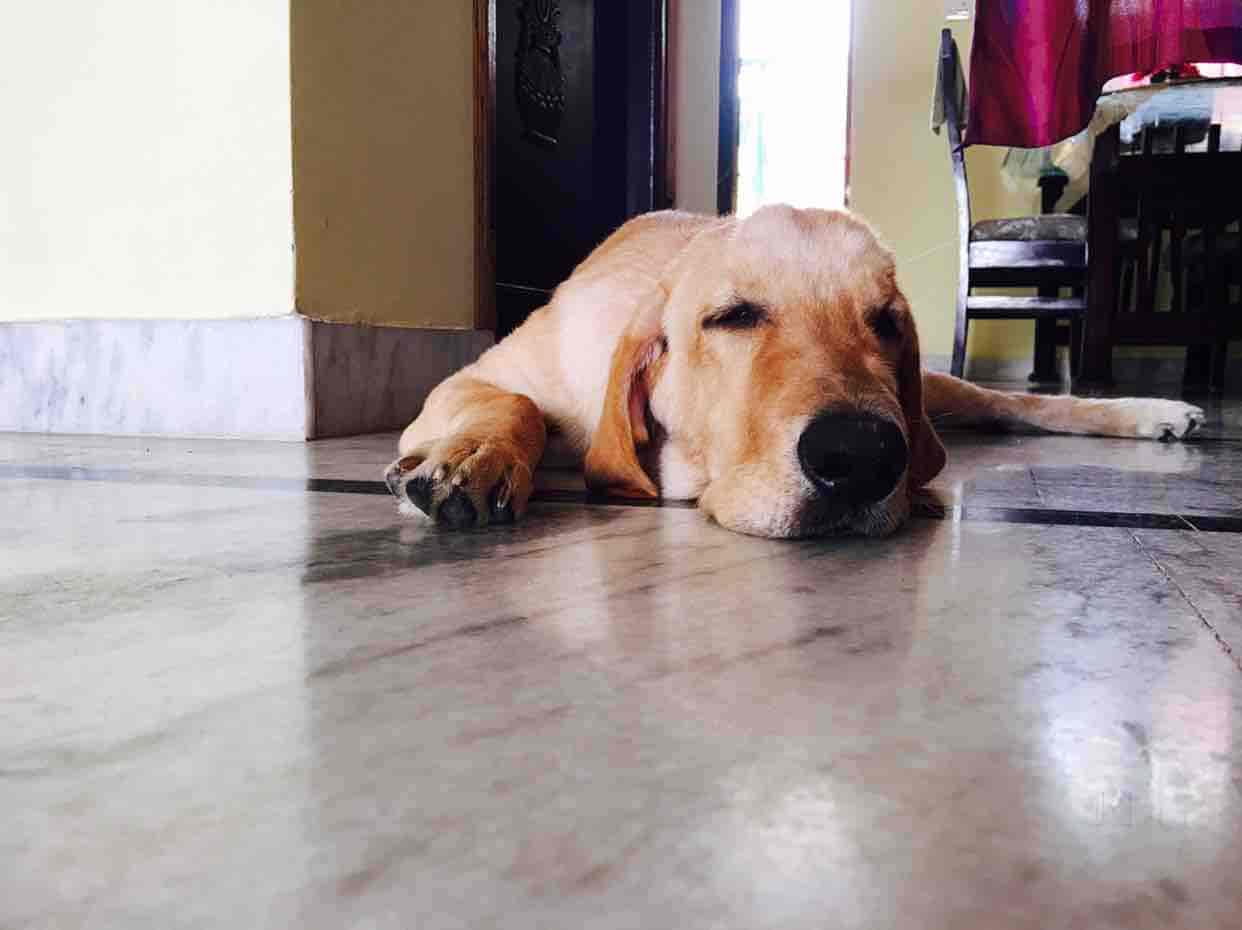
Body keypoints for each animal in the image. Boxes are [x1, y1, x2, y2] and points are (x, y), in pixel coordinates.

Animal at [385, 206, 1204, 538]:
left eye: (885, 321)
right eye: (733, 316)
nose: (863, 456)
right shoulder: (473, 377)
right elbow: (514, 405)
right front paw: (472, 459)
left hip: (932, 399)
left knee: (1003, 402)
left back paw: (1150, 411)